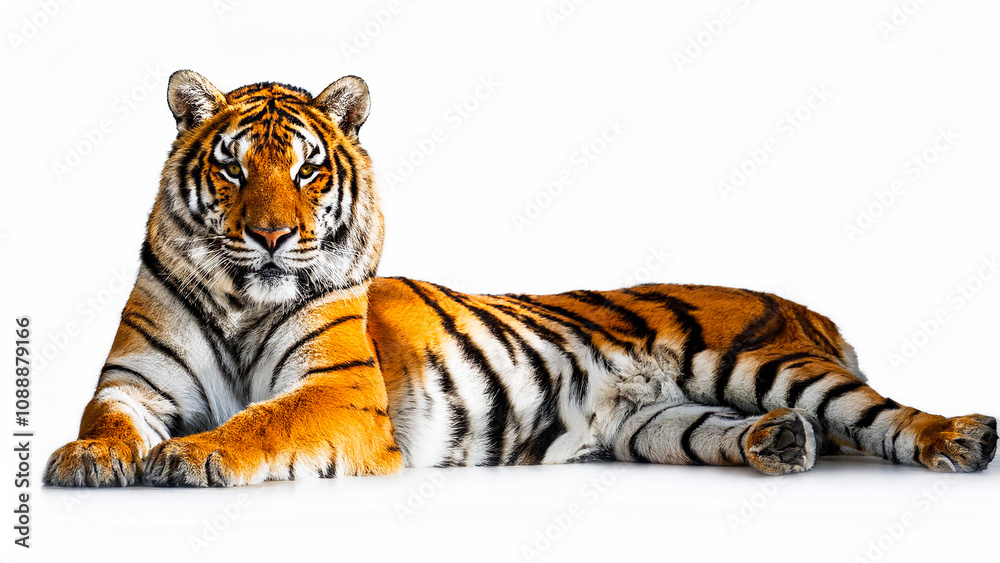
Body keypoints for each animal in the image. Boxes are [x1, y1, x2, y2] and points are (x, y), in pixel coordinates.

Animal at [44, 70, 996, 487]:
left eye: (309, 169)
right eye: (235, 168)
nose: (273, 236)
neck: (246, 301)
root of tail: (810, 308)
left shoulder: (339, 393)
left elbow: (262, 418)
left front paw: (192, 453)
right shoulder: (134, 380)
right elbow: (104, 415)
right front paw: (89, 457)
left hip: (764, 361)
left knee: (880, 414)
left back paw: (962, 438)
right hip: (660, 422)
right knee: (750, 430)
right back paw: (780, 444)